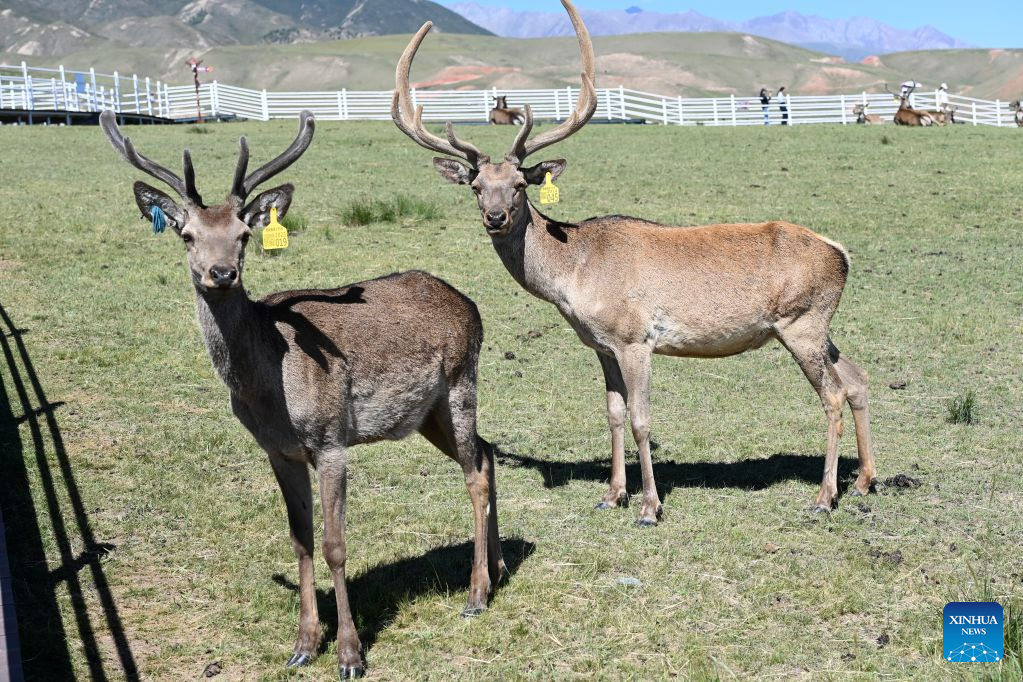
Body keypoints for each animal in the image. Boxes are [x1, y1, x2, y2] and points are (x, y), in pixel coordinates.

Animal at [99, 110, 505, 679]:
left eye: (245, 233)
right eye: (187, 235)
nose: (221, 273)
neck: (270, 390)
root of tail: (469, 303)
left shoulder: (331, 440)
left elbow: (335, 545)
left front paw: (350, 654)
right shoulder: (278, 451)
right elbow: (301, 540)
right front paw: (304, 644)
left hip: (461, 384)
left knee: (475, 473)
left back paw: (476, 594)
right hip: (425, 414)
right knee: (488, 453)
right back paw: (500, 567)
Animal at [392, 0, 877, 527]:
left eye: (520, 185)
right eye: (478, 187)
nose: (496, 217)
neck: (574, 276)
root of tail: (842, 254)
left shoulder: (636, 338)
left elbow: (643, 419)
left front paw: (648, 505)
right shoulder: (601, 345)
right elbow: (614, 413)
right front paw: (612, 494)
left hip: (801, 323)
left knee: (832, 394)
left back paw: (825, 496)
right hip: (818, 327)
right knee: (857, 378)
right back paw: (864, 481)